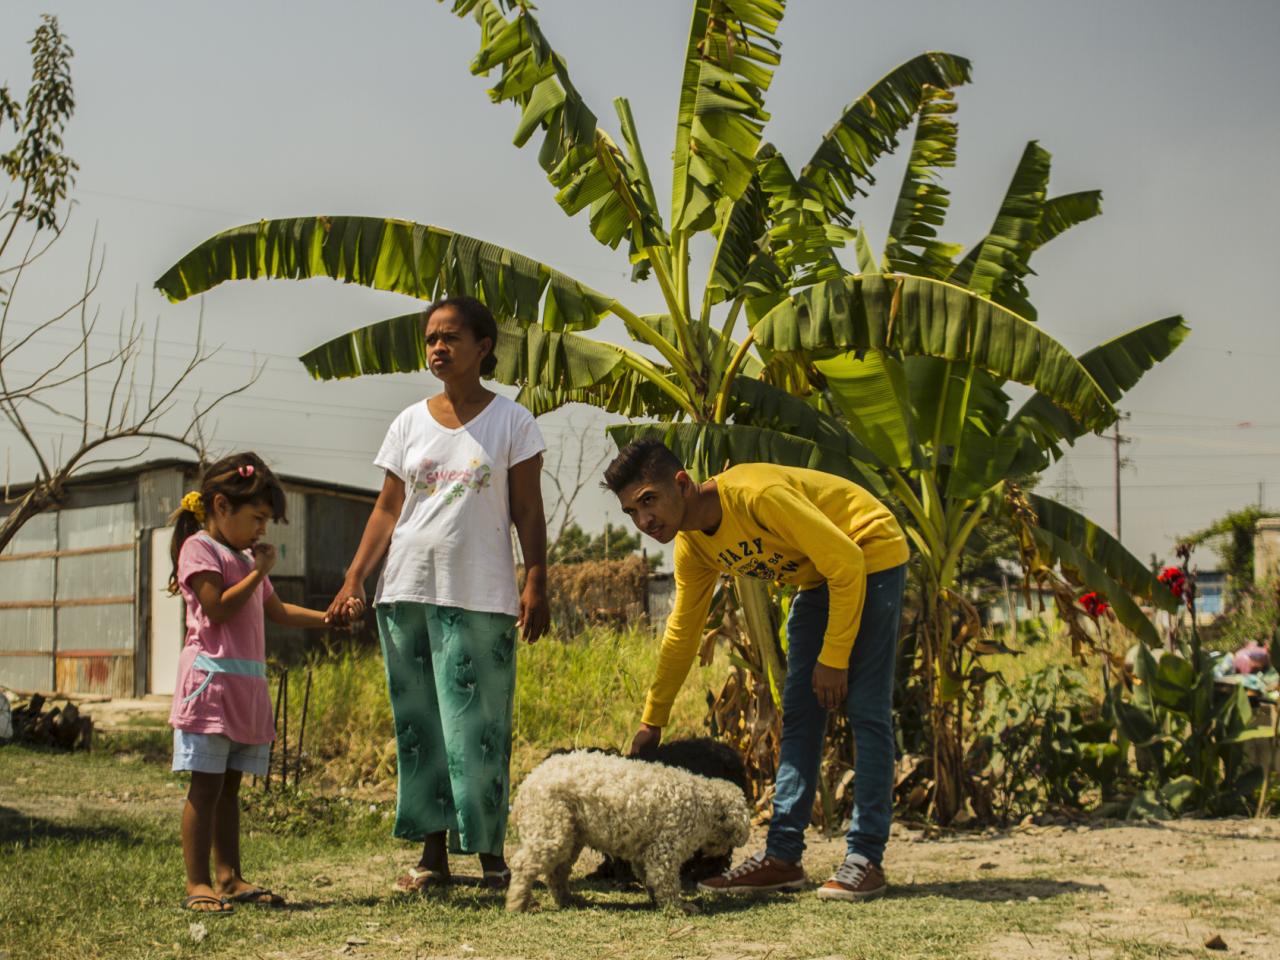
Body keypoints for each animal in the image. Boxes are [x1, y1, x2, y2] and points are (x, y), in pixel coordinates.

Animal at [504, 747, 752, 911]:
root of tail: (527, 784)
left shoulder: (645, 853)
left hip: (570, 836)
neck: (704, 802)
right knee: (524, 865)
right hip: (552, 831)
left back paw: (567, 899)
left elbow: (651, 878)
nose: (724, 855)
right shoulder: (665, 850)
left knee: (557, 872)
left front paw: (658, 901)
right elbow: (667, 881)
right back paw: (517, 902)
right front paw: (678, 907)